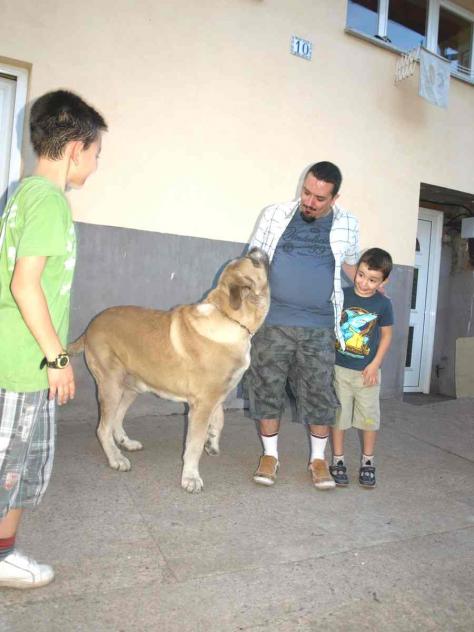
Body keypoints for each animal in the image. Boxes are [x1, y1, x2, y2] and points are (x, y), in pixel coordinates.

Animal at [68, 247, 269, 493]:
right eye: (253, 261)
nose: (254, 249)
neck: (229, 318)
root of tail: (91, 326)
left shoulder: (216, 395)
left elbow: (219, 417)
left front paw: (212, 441)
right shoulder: (202, 404)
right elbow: (193, 444)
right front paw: (191, 477)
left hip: (132, 387)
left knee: (116, 418)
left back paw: (126, 443)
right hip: (111, 385)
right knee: (103, 428)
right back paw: (116, 459)